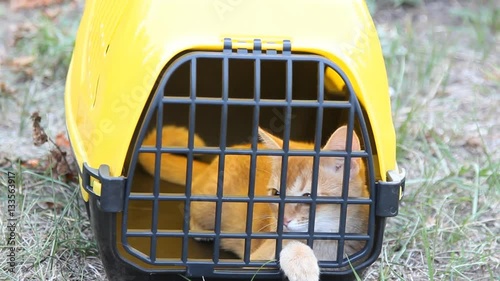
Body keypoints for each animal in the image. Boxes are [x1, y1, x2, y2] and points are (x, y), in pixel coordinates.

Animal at [137, 125, 368, 280]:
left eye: (306, 196)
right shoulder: (257, 258)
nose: (283, 220)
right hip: (207, 205)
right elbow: (287, 244)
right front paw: (303, 265)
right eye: (276, 193)